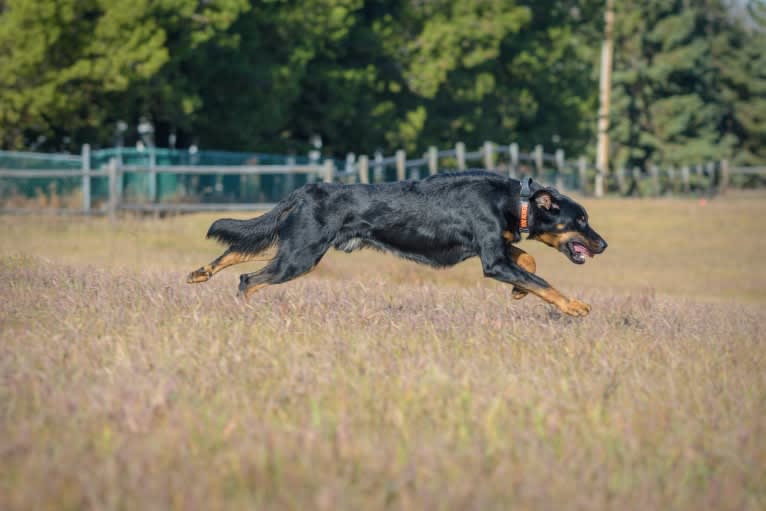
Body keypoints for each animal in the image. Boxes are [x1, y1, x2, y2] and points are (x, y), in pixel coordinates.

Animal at [186, 172, 608, 316]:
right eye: (581, 221)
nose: (603, 244)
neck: (513, 201)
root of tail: (305, 190)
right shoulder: (492, 260)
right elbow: (543, 282)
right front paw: (575, 306)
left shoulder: (495, 251)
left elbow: (529, 265)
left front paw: (519, 293)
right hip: (300, 255)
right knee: (249, 280)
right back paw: (244, 311)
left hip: (292, 245)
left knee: (238, 251)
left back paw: (199, 273)